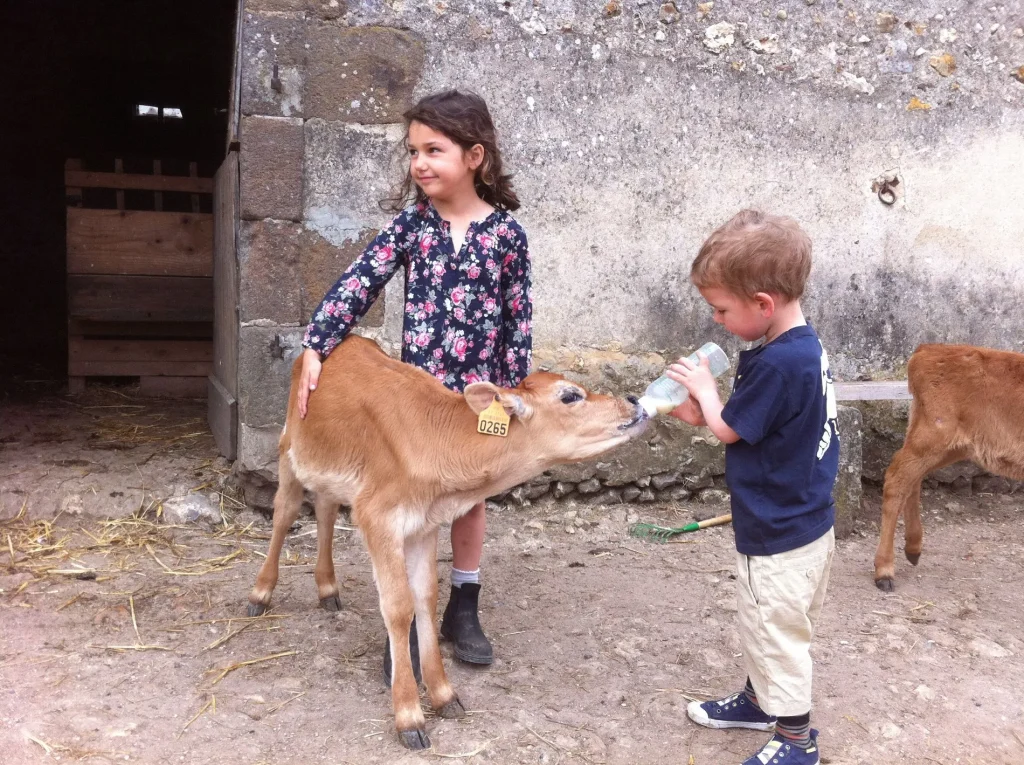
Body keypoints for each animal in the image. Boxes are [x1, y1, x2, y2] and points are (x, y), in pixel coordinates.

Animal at [245, 337, 647, 749]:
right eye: (570, 396)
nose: (634, 400)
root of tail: (347, 341)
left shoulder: (423, 524)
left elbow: (425, 598)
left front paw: (442, 694)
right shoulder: (378, 516)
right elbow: (398, 607)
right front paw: (409, 715)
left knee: (325, 508)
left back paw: (327, 588)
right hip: (289, 447)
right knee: (285, 512)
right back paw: (260, 593)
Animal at [872, 346, 1024, 593]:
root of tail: (927, 349)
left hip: (951, 445)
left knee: (910, 477)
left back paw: (913, 548)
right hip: (934, 435)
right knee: (897, 478)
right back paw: (885, 571)